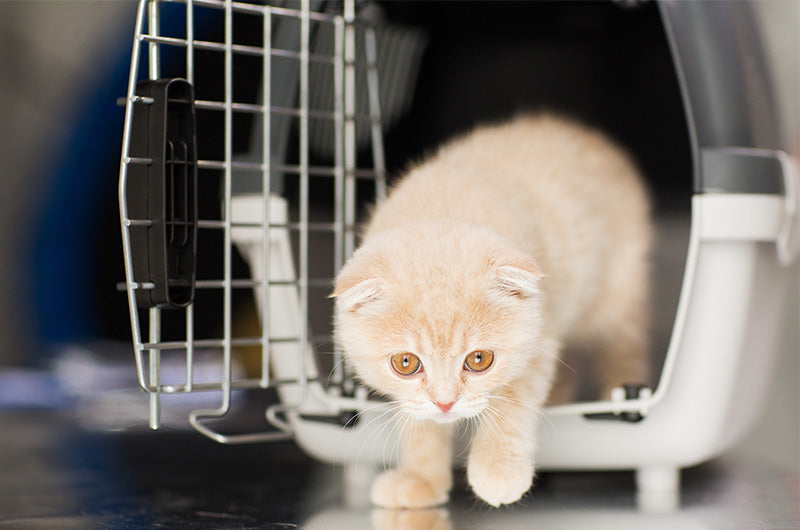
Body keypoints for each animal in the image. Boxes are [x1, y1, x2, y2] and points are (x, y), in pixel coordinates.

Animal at [332, 114, 648, 508]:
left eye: (479, 359)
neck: (442, 205)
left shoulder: (538, 339)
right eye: (405, 363)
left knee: (624, 353)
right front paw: (421, 480)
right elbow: (418, 421)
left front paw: (498, 472)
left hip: (619, 294)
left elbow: (512, 401)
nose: (445, 403)